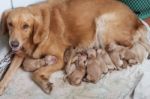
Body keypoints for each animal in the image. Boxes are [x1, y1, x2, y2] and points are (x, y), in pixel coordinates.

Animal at [0, 0, 149, 94]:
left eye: (26, 26)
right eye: (10, 24)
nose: (13, 44)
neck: (32, 40)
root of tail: (137, 19)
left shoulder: (60, 59)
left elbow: (36, 73)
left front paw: (45, 84)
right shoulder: (19, 54)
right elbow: (8, 74)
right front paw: (2, 86)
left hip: (103, 24)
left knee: (126, 46)